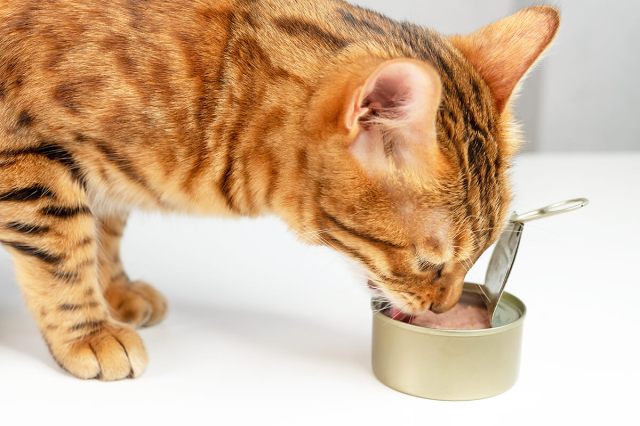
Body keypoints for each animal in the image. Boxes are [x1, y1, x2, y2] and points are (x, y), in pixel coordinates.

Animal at [0, 0, 560, 380]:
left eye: (482, 254)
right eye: (431, 264)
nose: (444, 309)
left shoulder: (104, 173)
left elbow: (107, 228)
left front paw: (115, 288)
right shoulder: (28, 159)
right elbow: (64, 250)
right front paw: (89, 331)